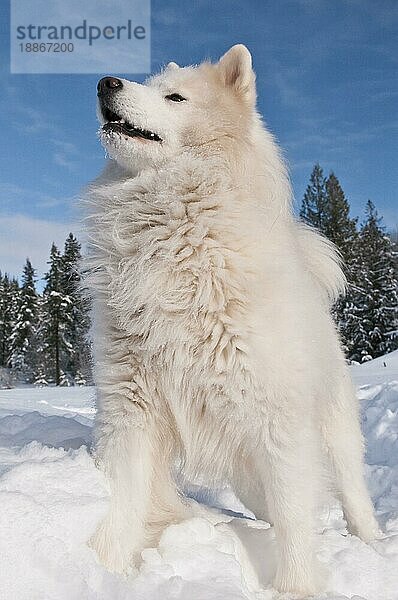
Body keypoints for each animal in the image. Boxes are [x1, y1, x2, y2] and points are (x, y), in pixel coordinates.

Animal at [82, 45, 378, 596]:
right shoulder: (131, 407)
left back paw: (372, 542)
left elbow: (296, 518)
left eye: (174, 98)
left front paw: (296, 588)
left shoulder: (276, 420)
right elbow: (124, 498)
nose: (105, 82)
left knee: (348, 491)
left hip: (333, 431)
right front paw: (103, 569)